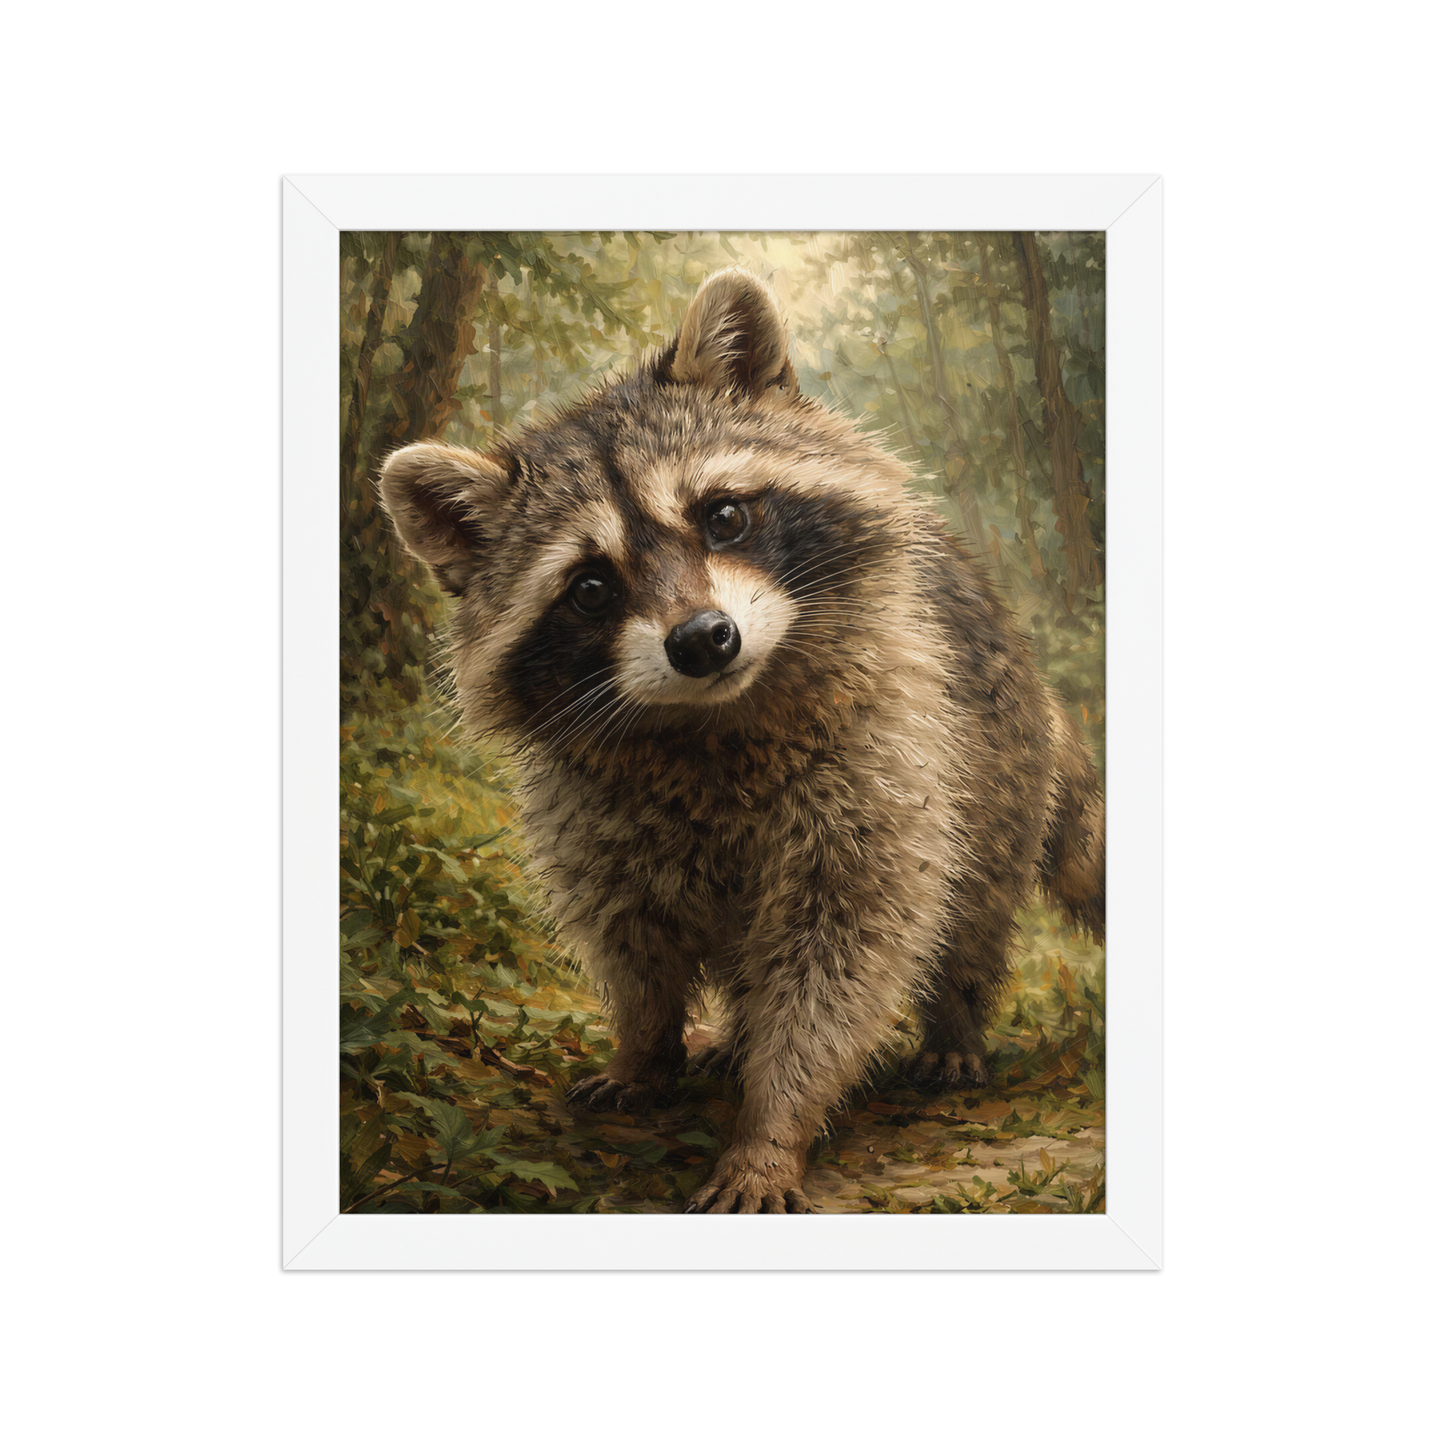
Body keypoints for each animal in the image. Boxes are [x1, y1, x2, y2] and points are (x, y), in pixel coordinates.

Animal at [378, 265, 1104, 1214]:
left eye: (722, 515)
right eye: (589, 586)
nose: (701, 640)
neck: (710, 721)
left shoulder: (885, 755)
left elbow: (842, 955)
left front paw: (771, 1125)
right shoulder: (588, 808)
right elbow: (631, 939)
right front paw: (644, 1046)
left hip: (995, 759)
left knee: (971, 906)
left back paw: (953, 1018)